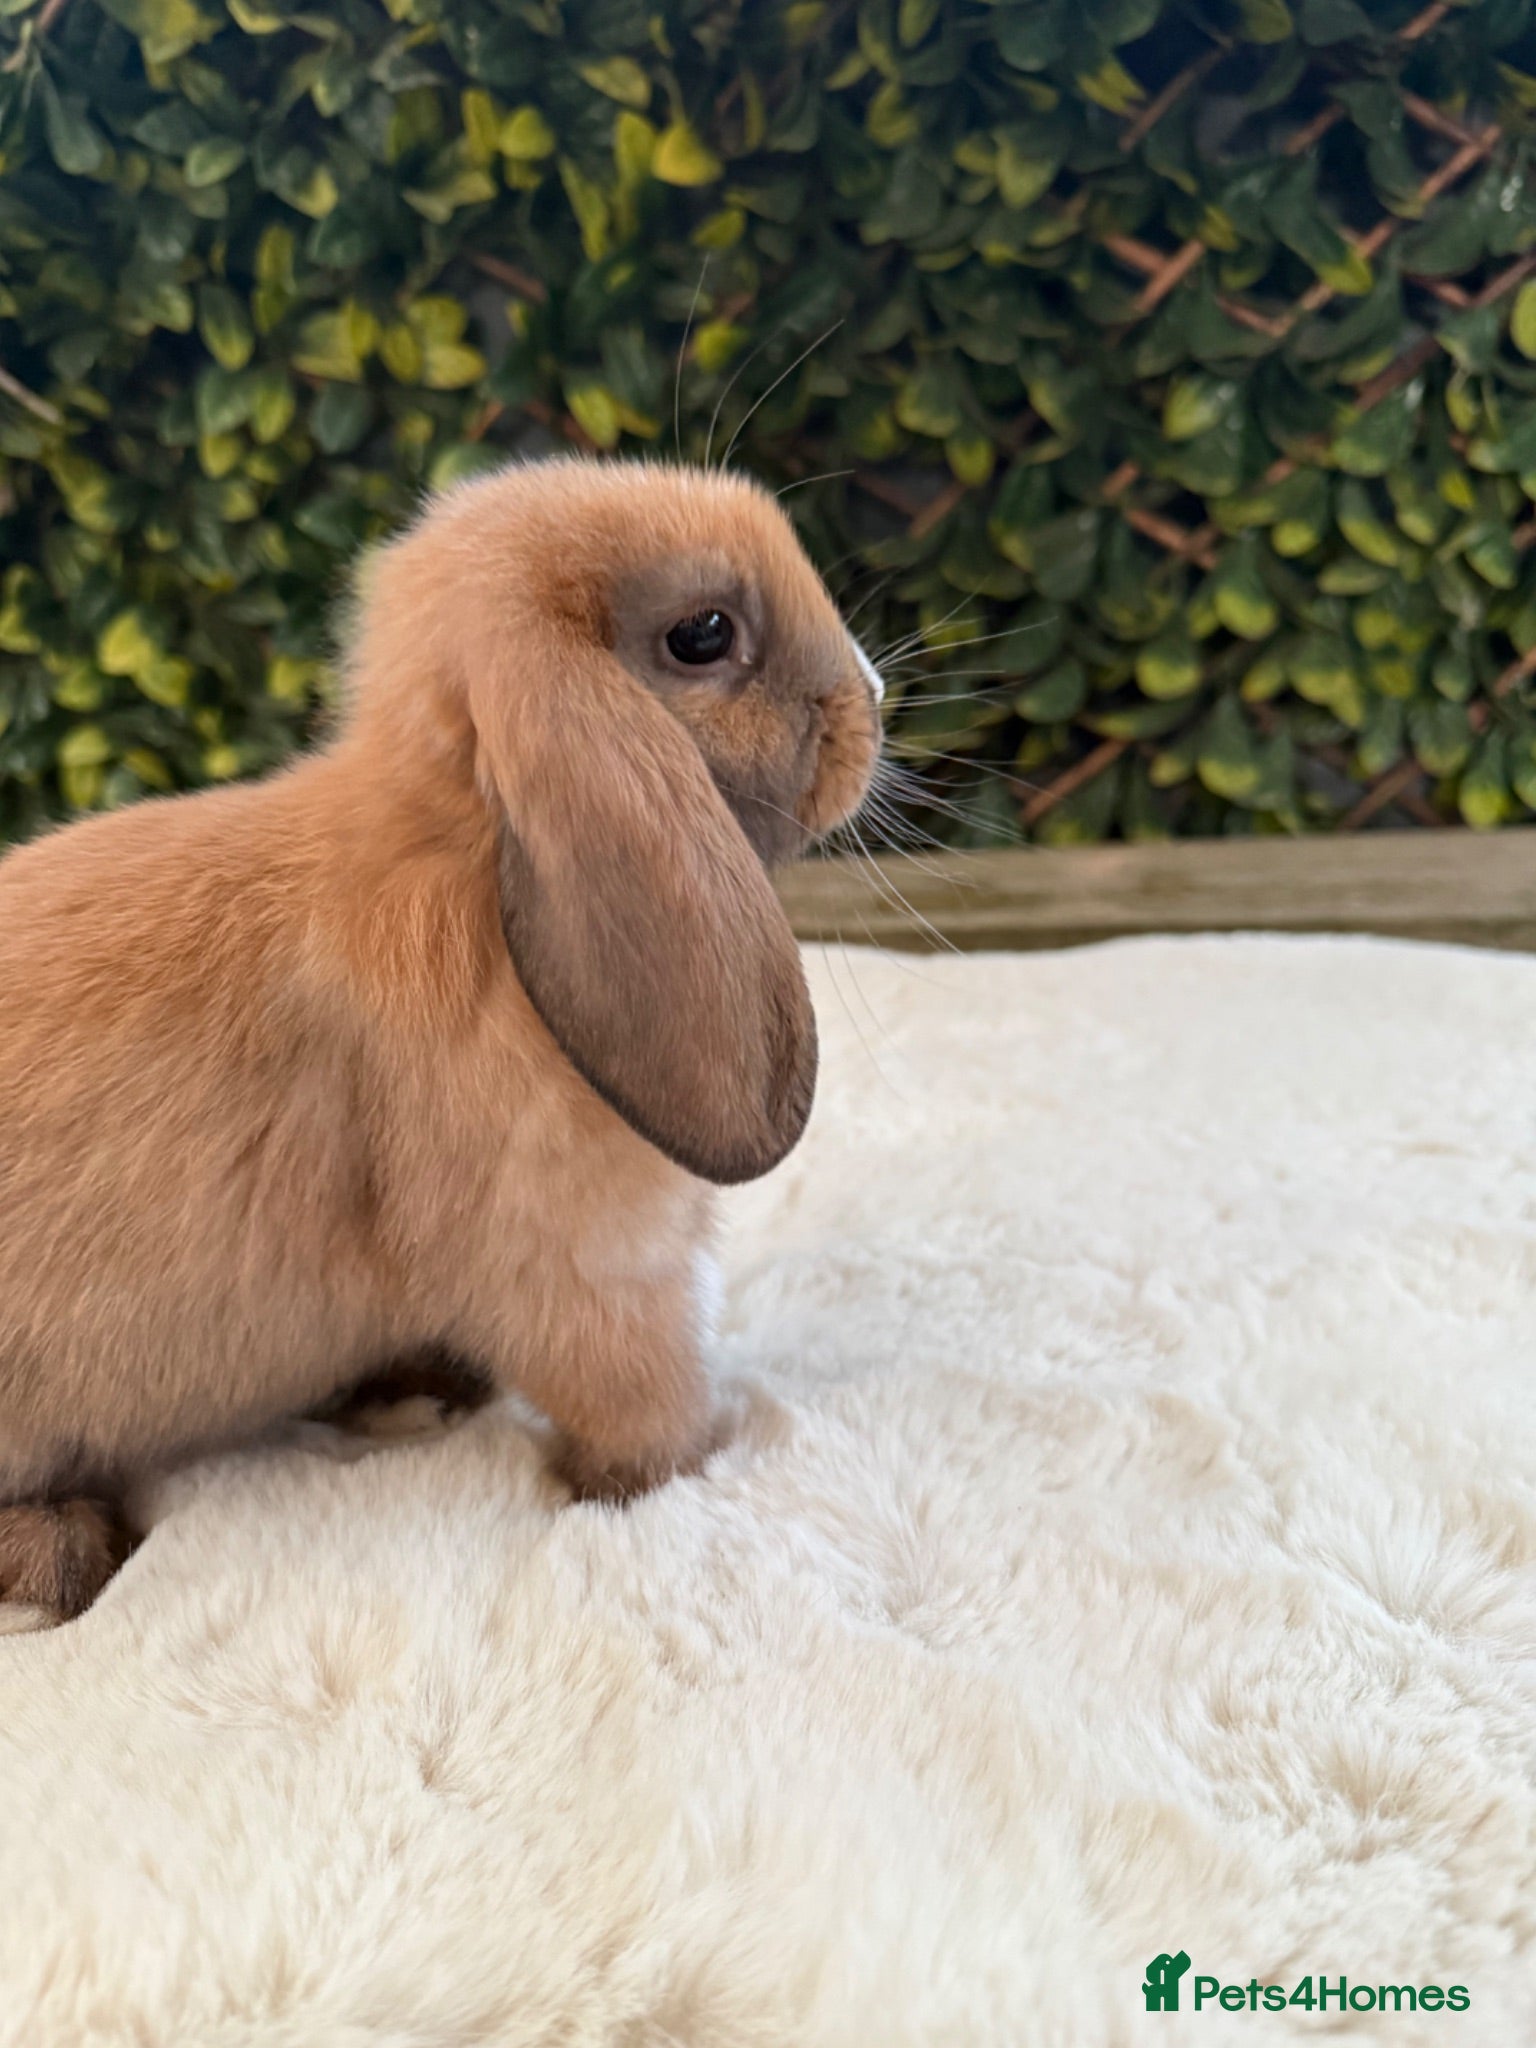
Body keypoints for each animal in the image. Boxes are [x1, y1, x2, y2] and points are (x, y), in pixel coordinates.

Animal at [0, 456, 884, 1625]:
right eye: (703, 634)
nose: (873, 698)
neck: (476, 863)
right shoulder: (589, 1273)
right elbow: (642, 1399)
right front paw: (672, 1476)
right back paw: (61, 1549)